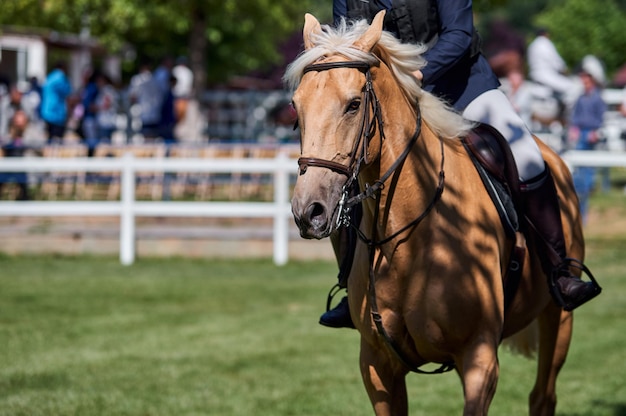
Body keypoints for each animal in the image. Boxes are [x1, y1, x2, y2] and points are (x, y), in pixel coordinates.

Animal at [286, 11, 584, 414]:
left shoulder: (479, 358)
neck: (406, 240)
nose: (309, 211)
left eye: (353, 104)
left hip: (558, 317)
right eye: (296, 106)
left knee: (543, 395)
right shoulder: (377, 366)